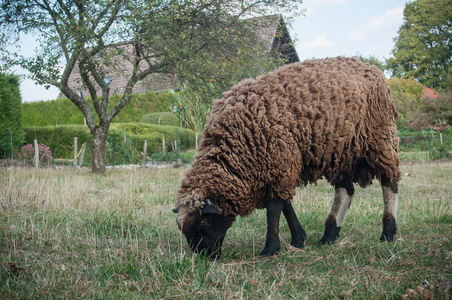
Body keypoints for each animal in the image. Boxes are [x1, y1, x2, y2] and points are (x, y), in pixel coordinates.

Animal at [175, 56, 400, 258]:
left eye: (202, 222)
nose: (205, 256)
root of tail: (371, 68)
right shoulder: (279, 166)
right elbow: (285, 205)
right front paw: (298, 239)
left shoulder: (279, 162)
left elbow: (274, 209)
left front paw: (271, 249)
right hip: (340, 151)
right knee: (345, 191)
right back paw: (329, 236)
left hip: (380, 139)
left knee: (389, 183)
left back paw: (387, 233)